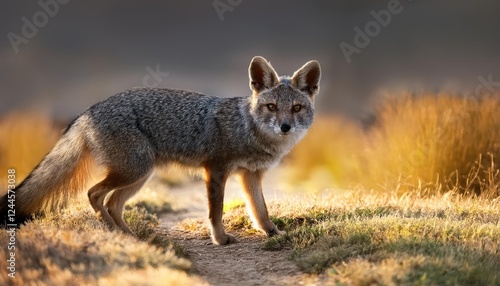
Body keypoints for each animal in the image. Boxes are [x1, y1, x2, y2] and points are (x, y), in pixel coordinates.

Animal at [0, 57, 320, 245]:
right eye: (271, 107)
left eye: (296, 108)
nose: (285, 127)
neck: (248, 128)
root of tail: (90, 109)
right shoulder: (216, 170)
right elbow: (215, 211)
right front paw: (220, 238)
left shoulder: (251, 175)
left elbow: (260, 210)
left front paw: (272, 233)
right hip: (133, 172)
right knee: (94, 194)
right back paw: (113, 232)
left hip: (138, 176)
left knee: (112, 203)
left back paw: (129, 237)